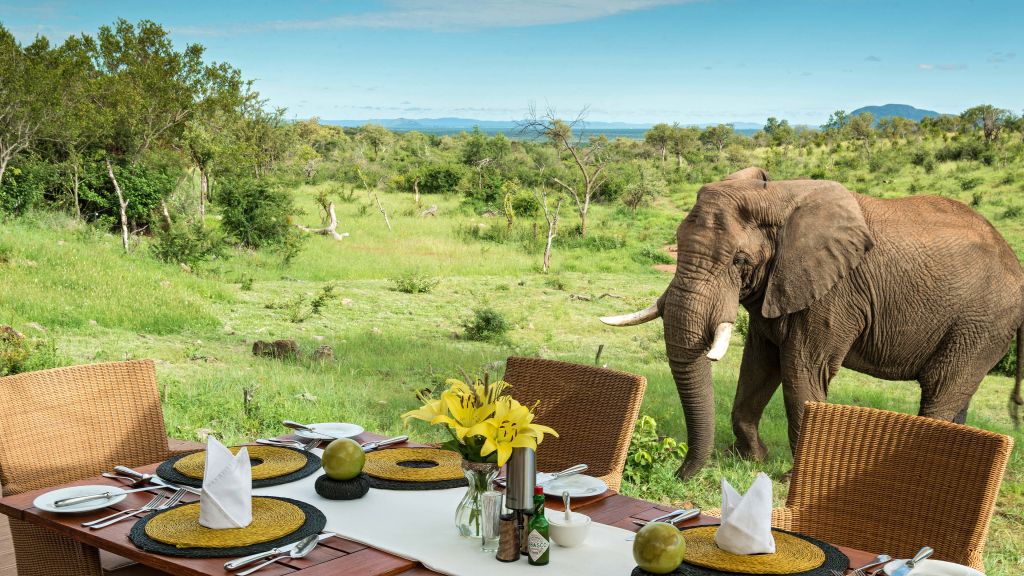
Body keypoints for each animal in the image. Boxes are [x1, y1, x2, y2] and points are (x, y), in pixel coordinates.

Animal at [602, 167, 1019, 479]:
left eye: (739, 261)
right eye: (678, 242)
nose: (679, 473)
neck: (776, 197)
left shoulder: (835, 292)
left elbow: (802, 369)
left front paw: (788, 479)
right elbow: (759, 366)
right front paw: (750, 458)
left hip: (982, 323)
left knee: (941, 389)